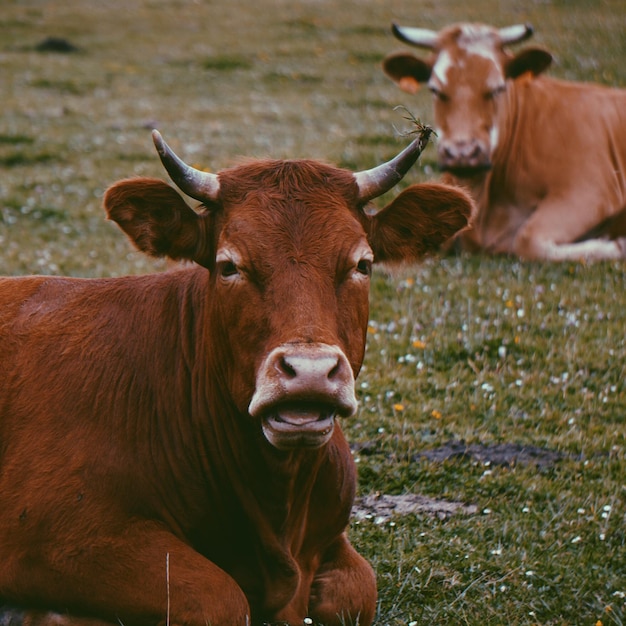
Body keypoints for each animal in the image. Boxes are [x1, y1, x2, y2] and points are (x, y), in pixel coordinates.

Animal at [0, 130, 468, 624]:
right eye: (229, 266)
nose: (309, 372)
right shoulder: (63, 535)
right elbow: (220, 598)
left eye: (362, 264)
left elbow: (358, 590)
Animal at [380, 22, 624, 260]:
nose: (462, 154)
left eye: (497, 88)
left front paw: (615, 246)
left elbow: (527, 240)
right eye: (435, 89)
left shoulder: (590, 192)